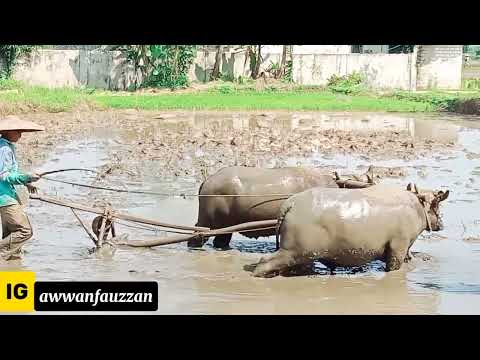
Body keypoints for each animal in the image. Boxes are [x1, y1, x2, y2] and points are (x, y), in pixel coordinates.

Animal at [251, 183, 450, 278]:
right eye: (437, 204)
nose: (442, 223)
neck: (416, 207)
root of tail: (291, 204)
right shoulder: (398, 248)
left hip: (301, 254)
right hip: (293, 250)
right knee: (265, 261)